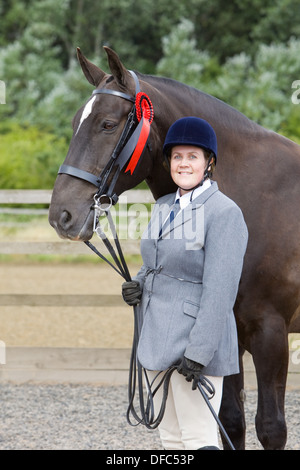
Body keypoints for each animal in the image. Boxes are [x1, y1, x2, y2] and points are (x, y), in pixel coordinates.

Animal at [49, 47, 300, 452]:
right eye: (75, 123)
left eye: (107, 124)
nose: (62, 215)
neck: (257, 196)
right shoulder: (225, 333)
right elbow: (230, 422)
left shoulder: (270, 333)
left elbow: (271, 428)